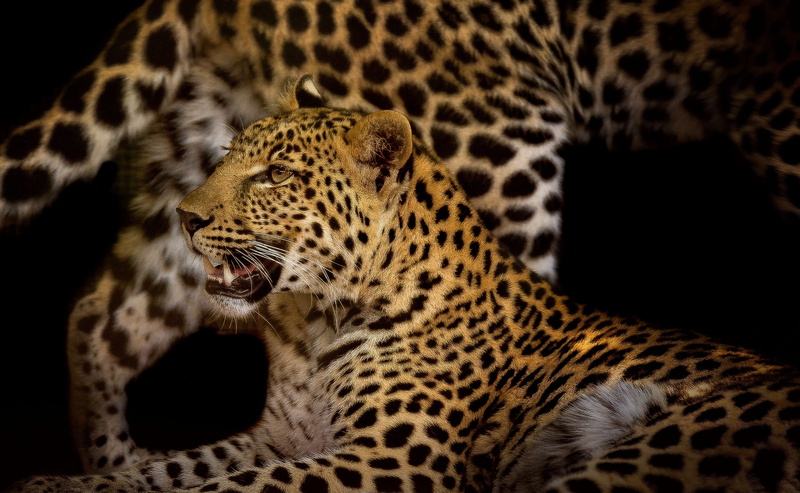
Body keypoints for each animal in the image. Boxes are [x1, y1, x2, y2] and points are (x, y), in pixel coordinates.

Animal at [2, 0, 800, 485]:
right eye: (229, 158)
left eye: (277, 174)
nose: (188, 216)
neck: (312, 328)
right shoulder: (277, 436)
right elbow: (169, 471)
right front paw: (67, 481)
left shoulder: (387, 460)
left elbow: (236, 486)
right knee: (103, 316)